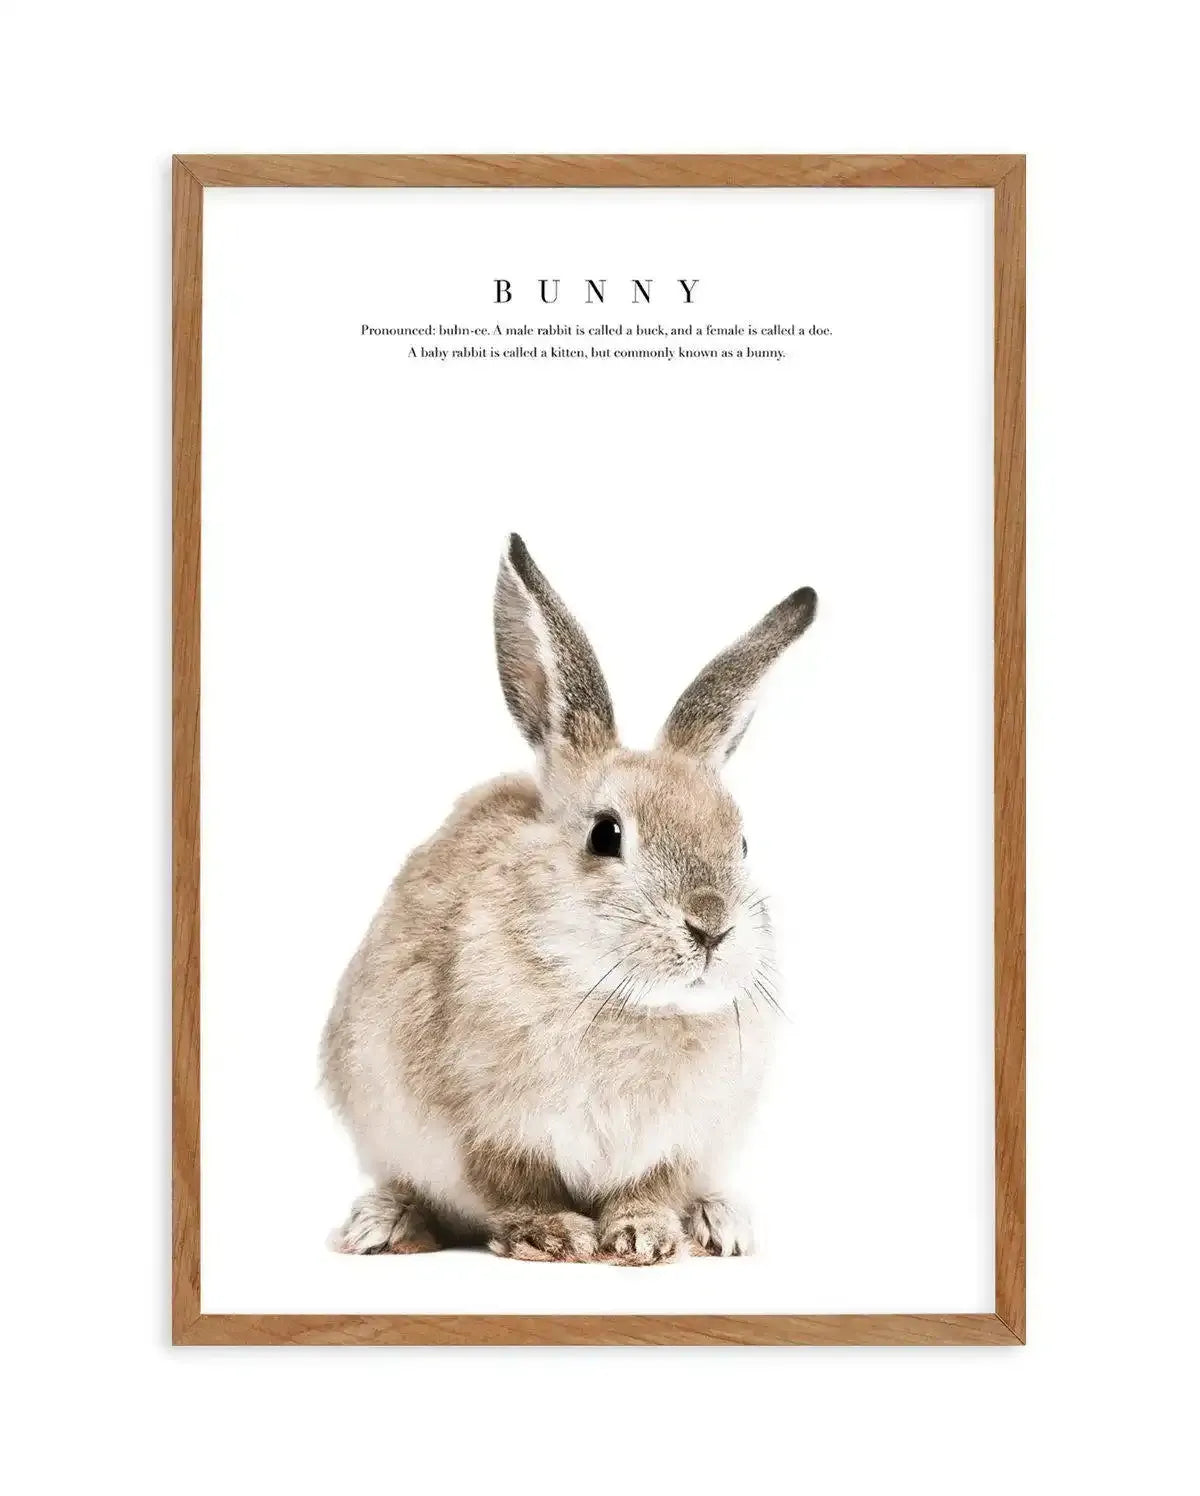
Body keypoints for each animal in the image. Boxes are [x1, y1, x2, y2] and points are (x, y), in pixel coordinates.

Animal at [320, 534, 816, 1265]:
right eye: (606, 834)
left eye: (743, 842)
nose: (711, 927)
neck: (621, 1000)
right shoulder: (486, 1130)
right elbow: (516, 1187)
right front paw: (553, 1235)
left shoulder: (678, 1141)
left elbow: (650, 1188)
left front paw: (646, 1236)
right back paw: (382, 1225)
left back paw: (720, 1222)